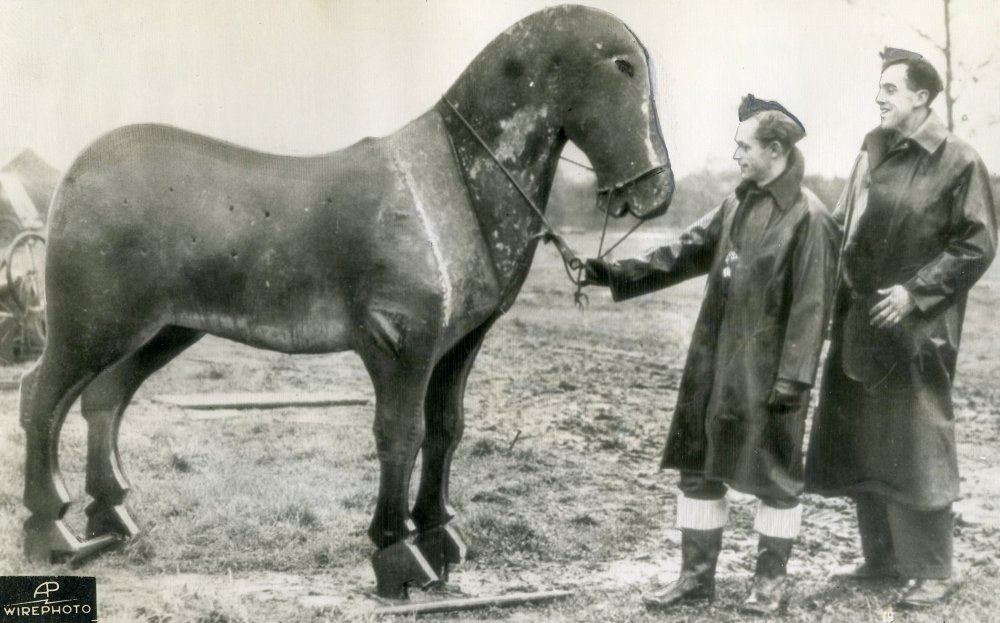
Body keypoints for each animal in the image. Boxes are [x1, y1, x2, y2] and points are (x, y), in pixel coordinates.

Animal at [19, 4, 674, 598]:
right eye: (622, 66)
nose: (655, 191)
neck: (455, 184)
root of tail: (75, 176)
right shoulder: (399, 343)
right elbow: (400, 435)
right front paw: (398, 554)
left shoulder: (457, 344)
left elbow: (446, 429)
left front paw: (440, 539)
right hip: (93, 327)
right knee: (43, 397)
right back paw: (50, 531)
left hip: (164, 330)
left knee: (105, 397)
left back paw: (111, 518)